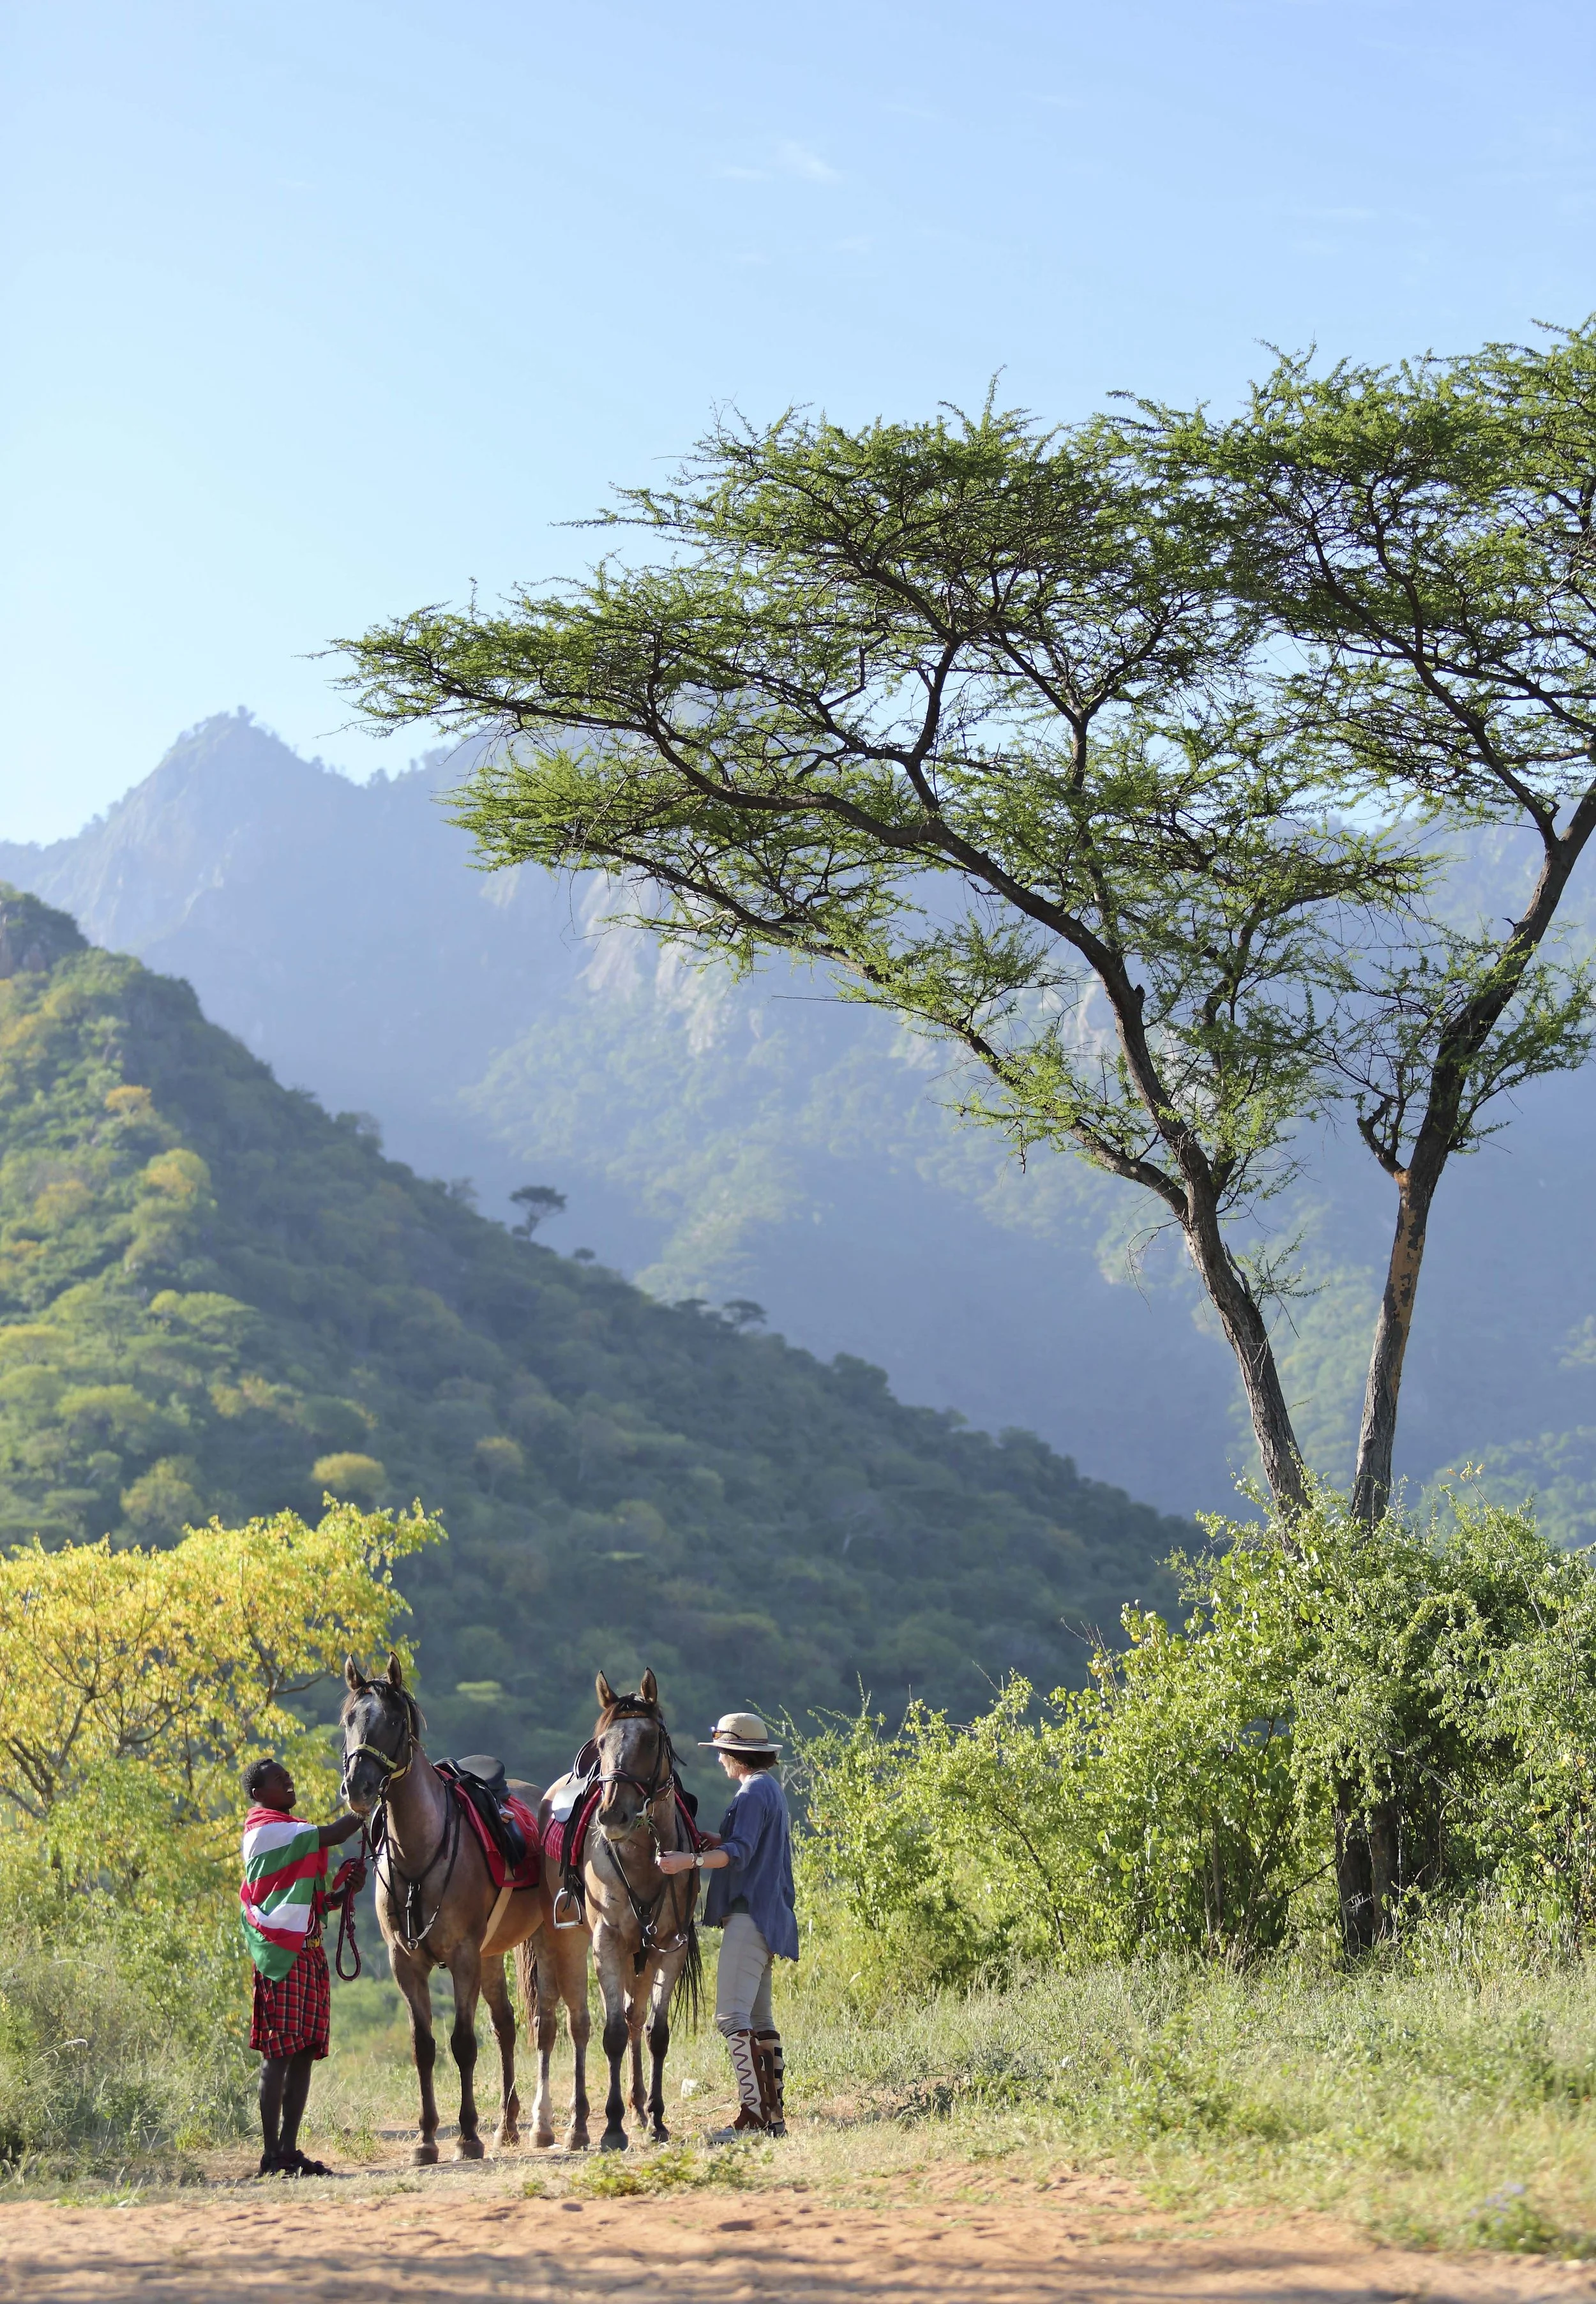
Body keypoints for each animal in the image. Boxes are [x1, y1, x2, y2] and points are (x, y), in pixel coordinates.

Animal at [340, 1652, 544, 2164]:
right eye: (349, 1719)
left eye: (393, 1720)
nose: (358, 1786)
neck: (419, 1853)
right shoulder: (405, 1962)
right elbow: (424, 2046)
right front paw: (427, 2138)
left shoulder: (464, 1957)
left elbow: (463, 2044)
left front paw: (468, 2135)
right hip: (493, 1955)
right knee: (506, 2025)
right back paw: (508, 2126)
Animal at [518, 1668, 701, 2153]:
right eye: (603, 1743)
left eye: (651, 1740)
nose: (612, 1816)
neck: (644, 1855)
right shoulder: (607, 1943)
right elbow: (612, 2034)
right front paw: (613, 2127)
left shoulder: (668, 1945)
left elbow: (655, 2033)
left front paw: (655, 2120)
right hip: (560, 1941)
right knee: (562, 2022)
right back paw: (559, 2125)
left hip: (638, 1953)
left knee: (631, 2019)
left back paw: (632, 2109)